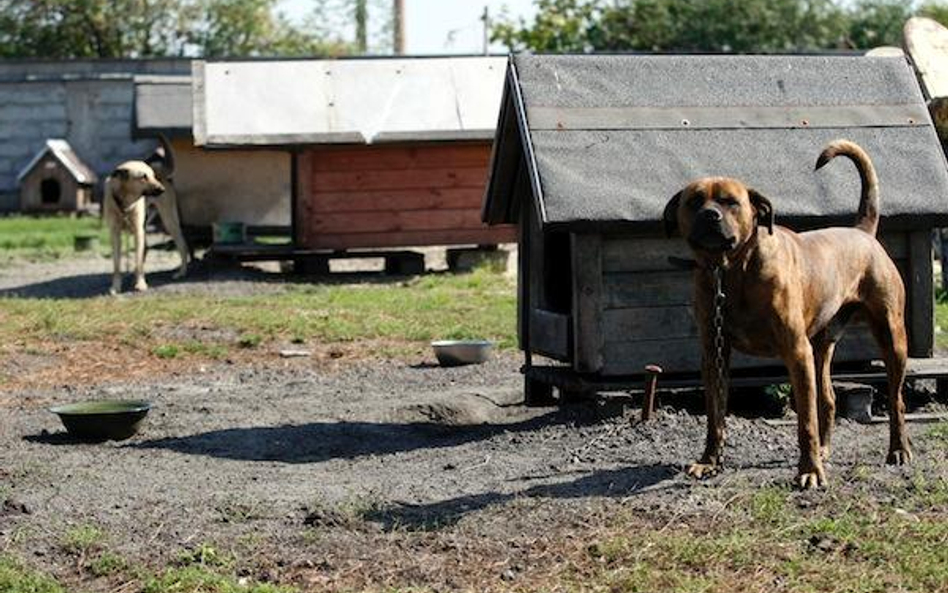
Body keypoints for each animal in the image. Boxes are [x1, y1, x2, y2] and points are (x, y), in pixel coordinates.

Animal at [664, 140, 916, 490]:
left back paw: (898, 449)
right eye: (694, 201)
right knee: (828, 398)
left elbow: (805, 421)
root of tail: (863, 233)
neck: (732, 270)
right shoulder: (714, 353)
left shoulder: (796, 352)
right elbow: (715, 415)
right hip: (821, 346)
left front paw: (809, 471)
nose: (710, 215)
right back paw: (825, 448)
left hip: (891, 337)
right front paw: (709, 461)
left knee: (895, 400)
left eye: (731, 202)